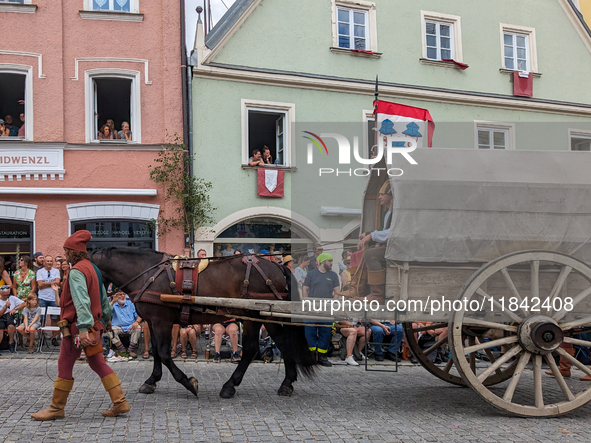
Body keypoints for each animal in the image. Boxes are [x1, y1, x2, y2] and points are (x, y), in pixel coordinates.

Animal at [88, 250, 316, 398]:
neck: (146, 273)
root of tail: (277, 266)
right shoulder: (153, 321)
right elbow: (156, 352)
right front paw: (151, 381)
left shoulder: (162, 321)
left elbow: (163, 353)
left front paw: (188, 383)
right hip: (265, 317)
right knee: (282, 343)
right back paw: (287, 383)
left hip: (253, 316)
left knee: (252, 349)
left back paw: (230, 386)